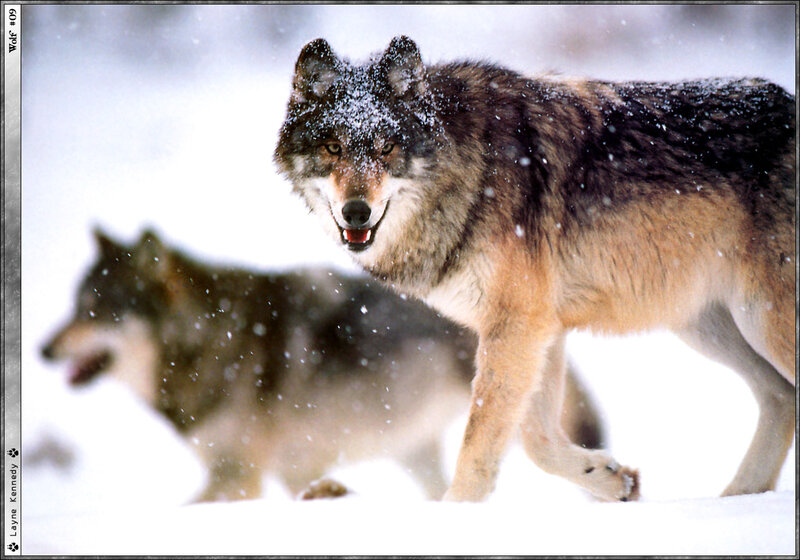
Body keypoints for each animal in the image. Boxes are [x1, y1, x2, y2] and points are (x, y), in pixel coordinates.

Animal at [41, 228, 603, 501]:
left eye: (97, 310)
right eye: (75, 305)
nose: (43, 349)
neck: (207, 339)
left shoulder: (237, 477)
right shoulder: (294, 471)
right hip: (416, 452)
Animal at [274, 36, 796, 502]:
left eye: (386, 148)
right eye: (333, 148)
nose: (356, 212)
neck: (470, 172)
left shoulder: (518, 324)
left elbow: (480, 444)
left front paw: (453, 518)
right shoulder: (538, 328)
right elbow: (535, 440)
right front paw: (611, 481)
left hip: (762, 321)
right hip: (710, 325)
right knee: (780, 398)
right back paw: (738, 501)